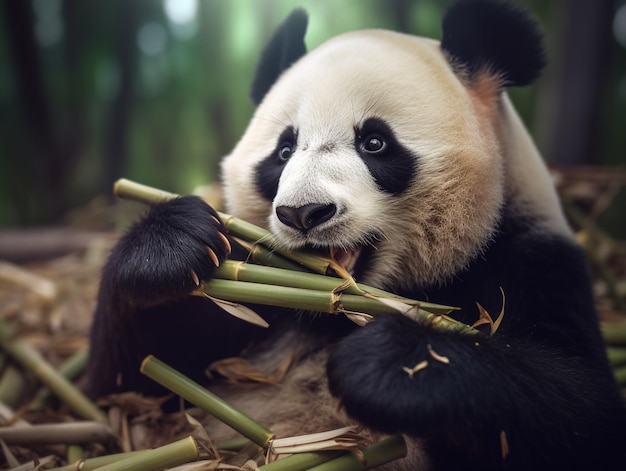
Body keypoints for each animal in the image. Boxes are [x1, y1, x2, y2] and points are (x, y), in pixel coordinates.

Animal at [85, 0, 624, 471]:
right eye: (284, 151)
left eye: (375, 142)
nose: (303, 212)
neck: (337, 314)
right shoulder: (253, 299)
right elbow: (126, 393)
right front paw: (172, 245)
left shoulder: (533, 262)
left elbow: (582, 413)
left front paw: (392, 364)